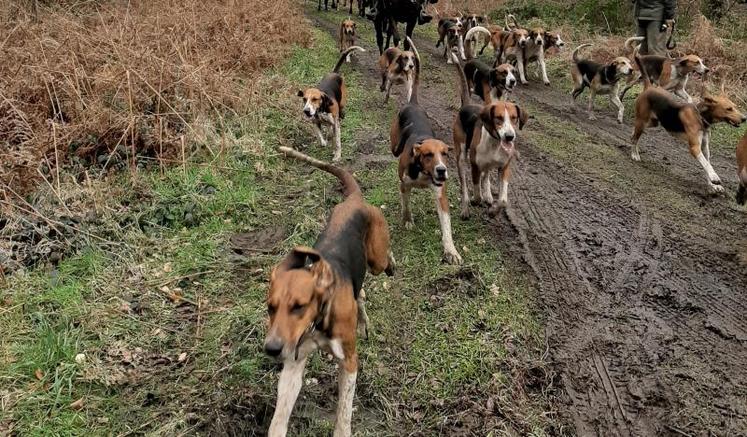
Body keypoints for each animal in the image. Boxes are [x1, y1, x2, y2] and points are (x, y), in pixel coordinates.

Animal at [268, 146, 398, 436]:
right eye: (270, 308)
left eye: (299, 306)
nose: (271, 349)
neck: (318, 321)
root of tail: (355, 200)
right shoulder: (294, 362)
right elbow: (279, 416)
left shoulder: (349, 361)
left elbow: (344, 414)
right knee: (360, 295)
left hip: (376, 259)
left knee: (384, 259)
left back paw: (392, 262)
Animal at [450, 53, 524, 217]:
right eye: (498, 118)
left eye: (514, 117)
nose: (510, 137)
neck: (495, 143)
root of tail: (467, 105)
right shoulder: (475, 166)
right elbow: (476, 195)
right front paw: (476, 200)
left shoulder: (504, 168)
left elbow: (503, 200)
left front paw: (493, 210)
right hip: (461, 157)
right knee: (464, 187)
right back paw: (466, 208)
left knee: (486, 175)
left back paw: (488, 195)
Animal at [632, 53, 747, 192]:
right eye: (729, 109)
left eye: (735, 107)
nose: (744, 118)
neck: (701, 118)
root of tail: (649, 87)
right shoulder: (695, 148)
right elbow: (707, 165)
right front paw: (714, 178)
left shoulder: (704, 148)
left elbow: (707, 163)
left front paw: (713, 185)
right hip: (642, 121)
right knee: (635, 138)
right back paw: (634, 154)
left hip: (653, 123)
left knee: (634, 134)